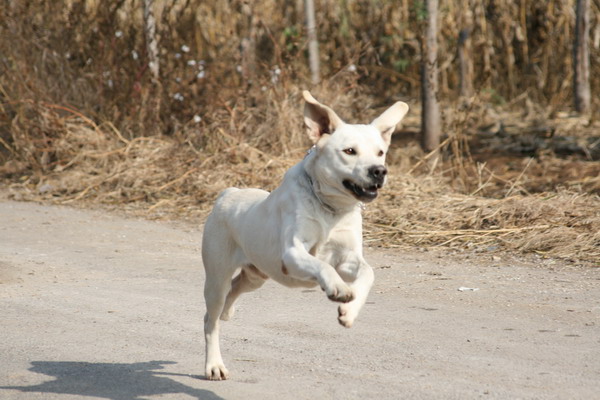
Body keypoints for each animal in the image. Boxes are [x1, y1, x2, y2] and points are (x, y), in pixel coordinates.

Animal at [202, 91, 408, 382]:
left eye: (381, 152)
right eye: (349, 151)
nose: (379, 171)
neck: (330, 209)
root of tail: (227, 194)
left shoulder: (347, 258)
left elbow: (368, 273)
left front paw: (349, 312)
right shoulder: (293, 253)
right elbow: (321, 265)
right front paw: (338, 289)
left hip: (257, 275)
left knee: (236, 288)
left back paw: (228, 312)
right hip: (216, 277)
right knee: (211, 319)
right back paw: (214, 365)